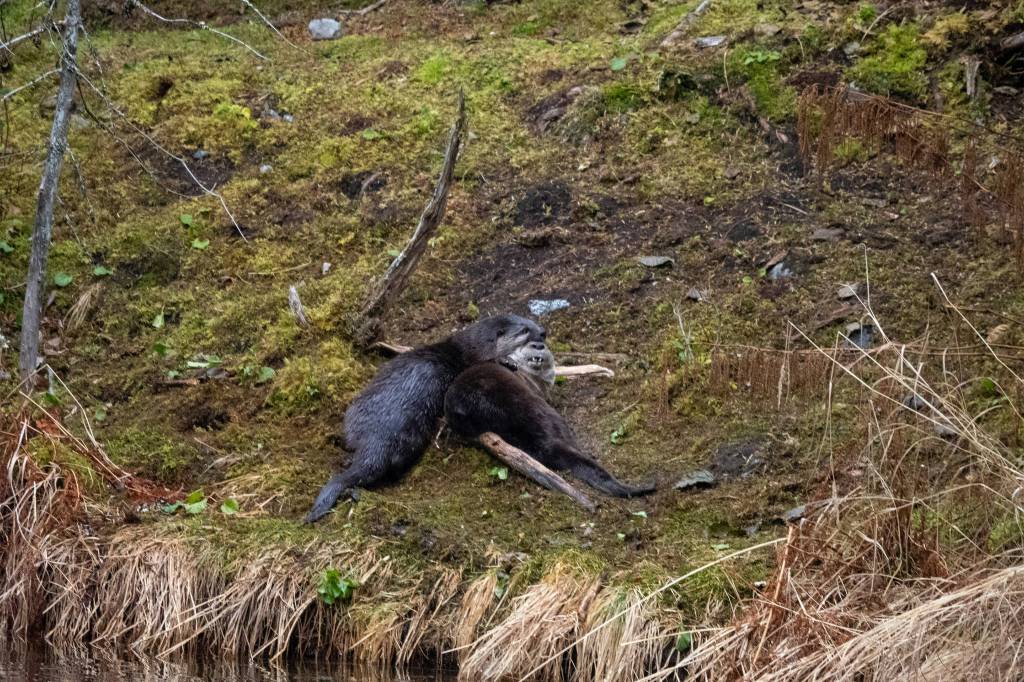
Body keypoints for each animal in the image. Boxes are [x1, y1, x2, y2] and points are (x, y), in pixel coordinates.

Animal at [304, 314, 548, 523]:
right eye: (524, 330)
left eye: (529, 320)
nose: (543, 332)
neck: (463, 349)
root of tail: (377, 439)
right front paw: (507, 362)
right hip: (410, 438)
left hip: (354, 413)